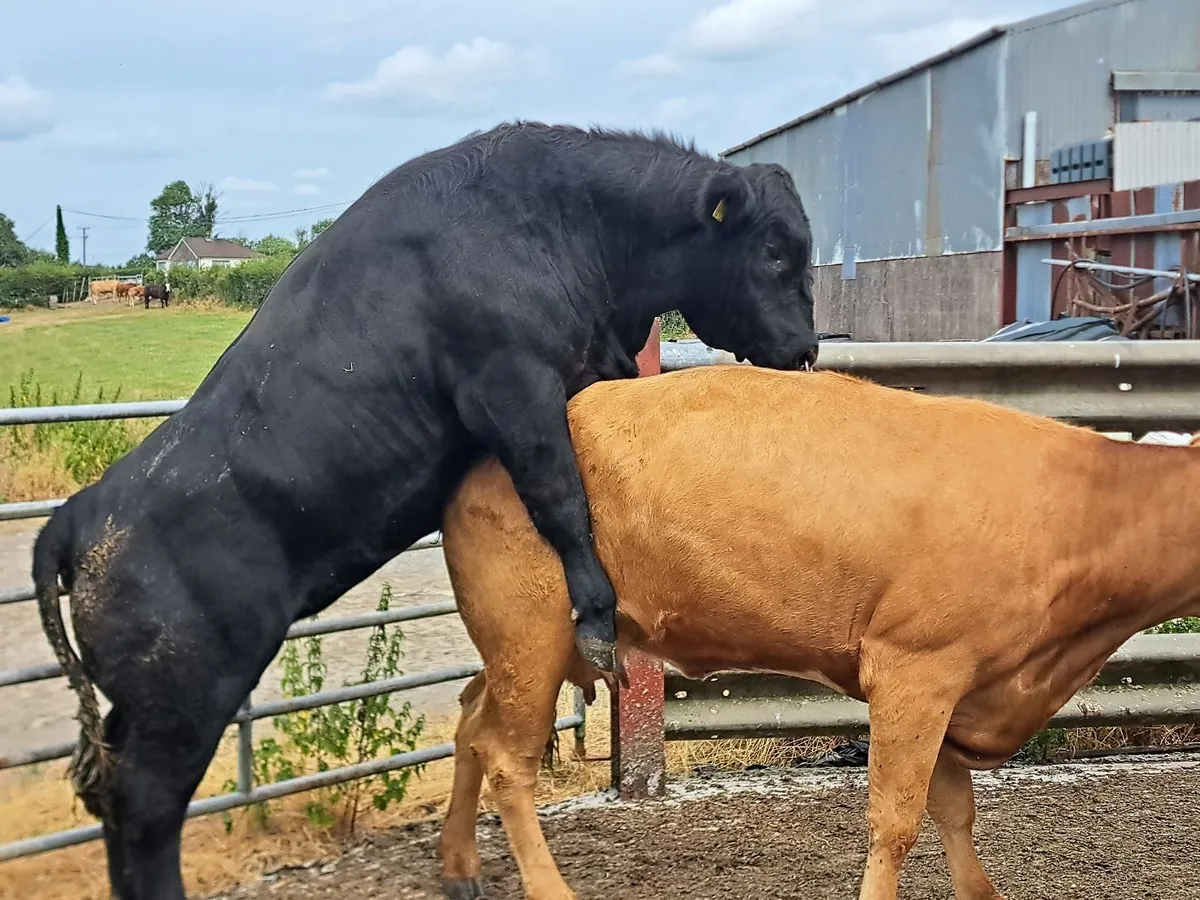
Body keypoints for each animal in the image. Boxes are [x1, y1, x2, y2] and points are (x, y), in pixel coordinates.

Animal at [32, 121, 819, 899]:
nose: (807, 348)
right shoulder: (511, 385)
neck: (560, 217)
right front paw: (597, 618)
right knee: (145, 805)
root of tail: (81, 512)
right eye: (773, 251)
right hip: (184, 691)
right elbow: (561, 498)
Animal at [436, 363, 1200, 900]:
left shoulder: (955, 689)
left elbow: (955, 811)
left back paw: (459, 865)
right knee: (505, 757)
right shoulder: (917, 669)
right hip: (530, 631)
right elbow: (897, 823)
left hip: (526, 644)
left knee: (470, 717)